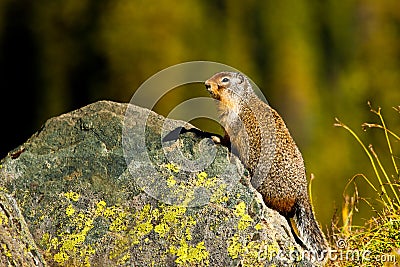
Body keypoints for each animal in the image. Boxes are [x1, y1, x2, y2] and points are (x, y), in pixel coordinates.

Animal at [206, 72, 328, 260]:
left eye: (225, 79)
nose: (206, 84)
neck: (241, 99)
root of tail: (302, 192)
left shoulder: (232, 120)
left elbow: (228, 137)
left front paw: (216, 138)